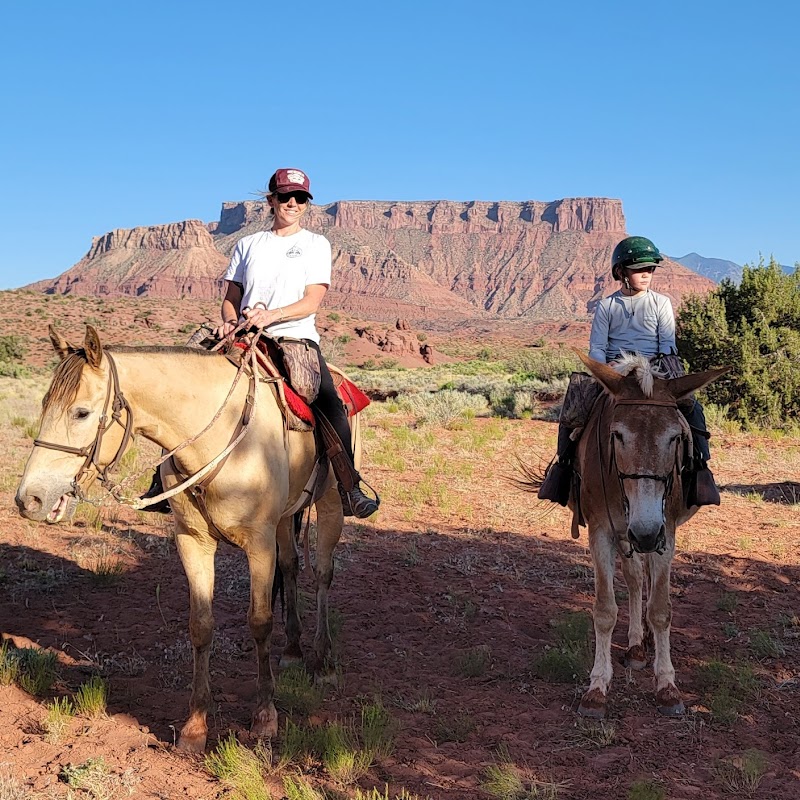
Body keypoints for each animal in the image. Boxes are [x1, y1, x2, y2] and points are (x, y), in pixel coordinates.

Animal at [14, 324, 352, 752]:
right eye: (44, 405)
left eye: (82, 412)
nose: (28, 499)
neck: (220, 438)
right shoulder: (193, 541)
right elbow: (201, 625)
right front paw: (195, 726)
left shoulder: (258, 544)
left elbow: (260, 622)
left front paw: (264, 717)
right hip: (286, 516)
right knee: (291, 567)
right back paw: (292, 650)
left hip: (330, 504)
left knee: (323, 574)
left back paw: (323, 660)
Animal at [532, 354, 724, 716]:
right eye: (617, 435)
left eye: (676, 437)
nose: (645, 531)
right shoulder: (603, 532)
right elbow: (605, 610)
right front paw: (596, 688)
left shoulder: (666, 533)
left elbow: (661, 609)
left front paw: (667, 686)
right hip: (626, 536)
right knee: (635, 578)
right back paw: (636, 645)